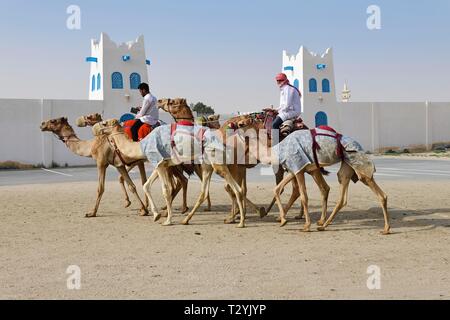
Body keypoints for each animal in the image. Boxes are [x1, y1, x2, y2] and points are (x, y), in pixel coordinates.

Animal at [92, 115, 246, 228]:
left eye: (104, 123)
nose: (94, 129)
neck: (141, 145)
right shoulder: (161, 163)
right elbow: (146, 185)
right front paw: (156, 215)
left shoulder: (159, 163)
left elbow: (166, 190)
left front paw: (167, 220)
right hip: (207, 164)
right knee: (204, 191)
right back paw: (186, 220)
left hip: (217, 161)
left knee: (236, 188)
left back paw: (240, 222)